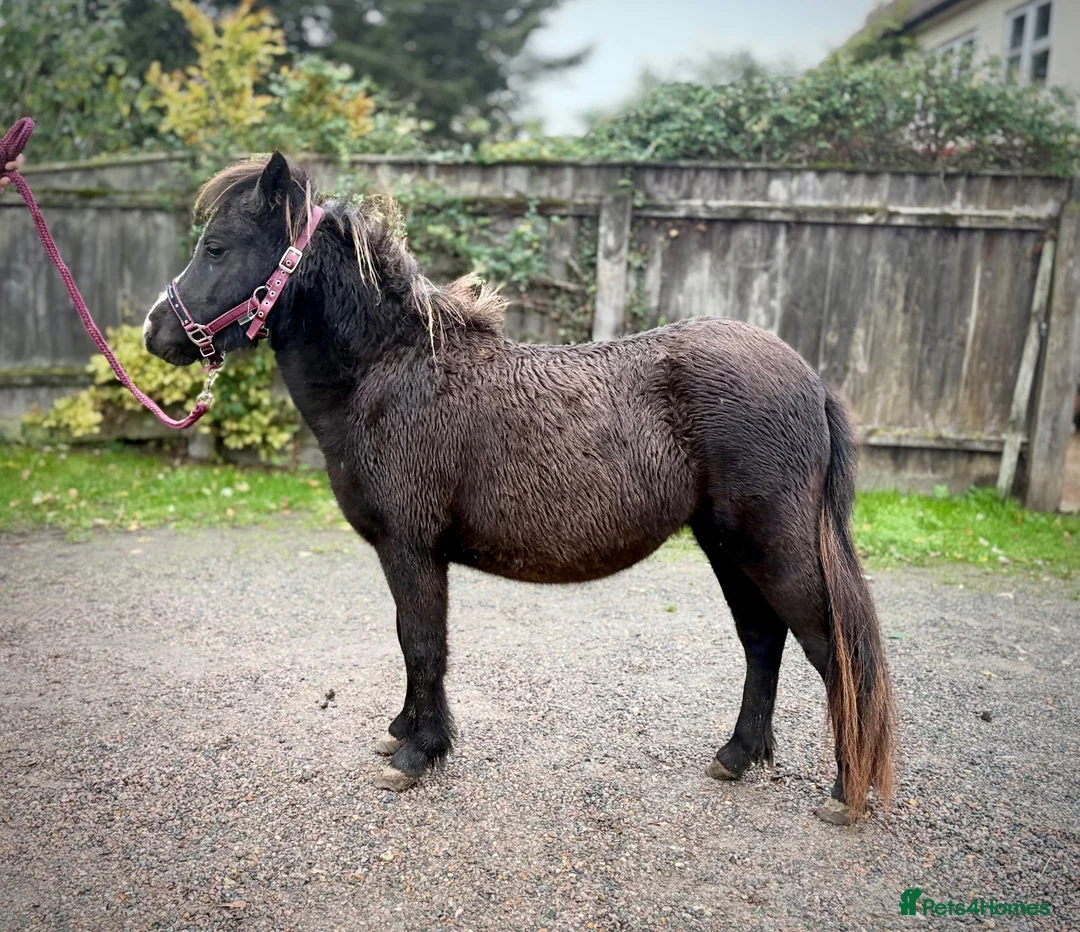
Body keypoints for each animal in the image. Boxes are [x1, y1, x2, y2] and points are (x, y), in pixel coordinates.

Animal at [142, 152, 897, 825]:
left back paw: (843, 794)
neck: (391, 370)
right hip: (726, 545)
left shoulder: (411, 548)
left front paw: (418, 755)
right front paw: (404, 731)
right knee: (763, 639)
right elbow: (411, 641)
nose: (155, 331)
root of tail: (808, 378)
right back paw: (738, 755)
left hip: (771, 545)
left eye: (216, 246)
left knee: (832, 651)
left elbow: (423, 642)